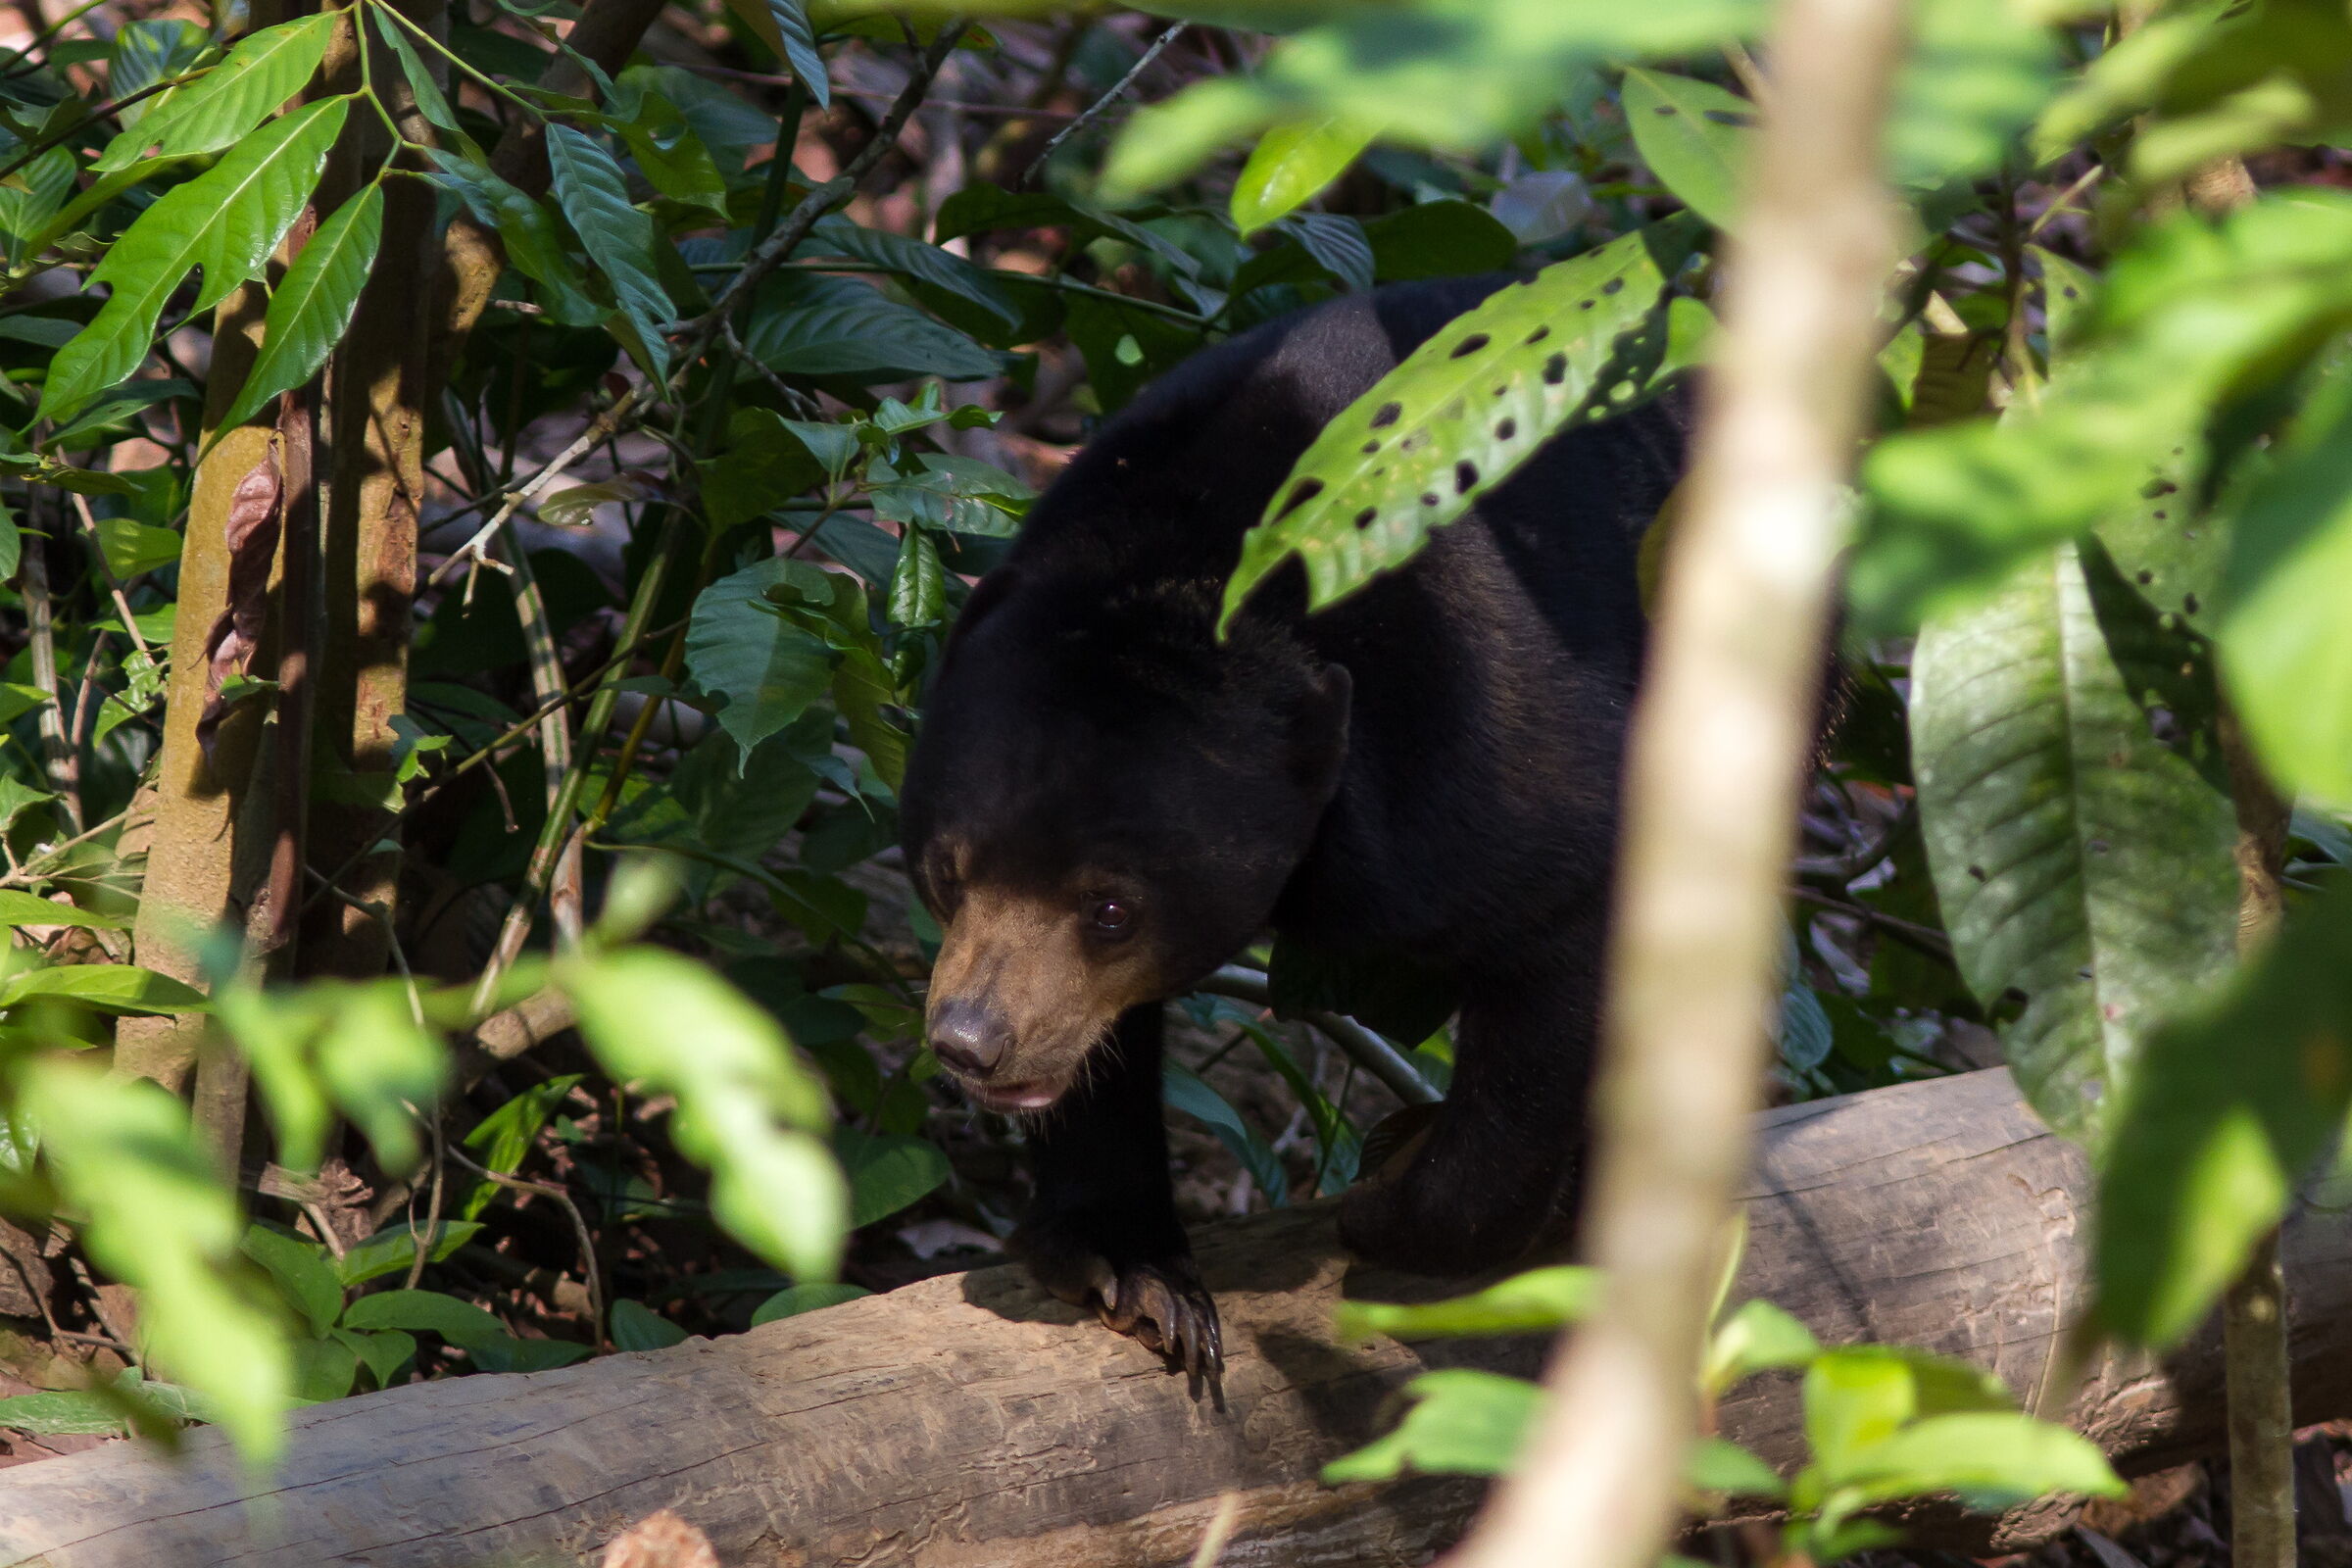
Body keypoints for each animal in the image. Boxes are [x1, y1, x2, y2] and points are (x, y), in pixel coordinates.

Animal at [897, 275, 1688, 1380]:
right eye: (948, 871)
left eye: (1112, 910)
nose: (971, 1042)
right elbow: (1103, 1047)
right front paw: (1133, 1272)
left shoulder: (1481, 744)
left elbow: (1569, 922)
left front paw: (1390, 1198)